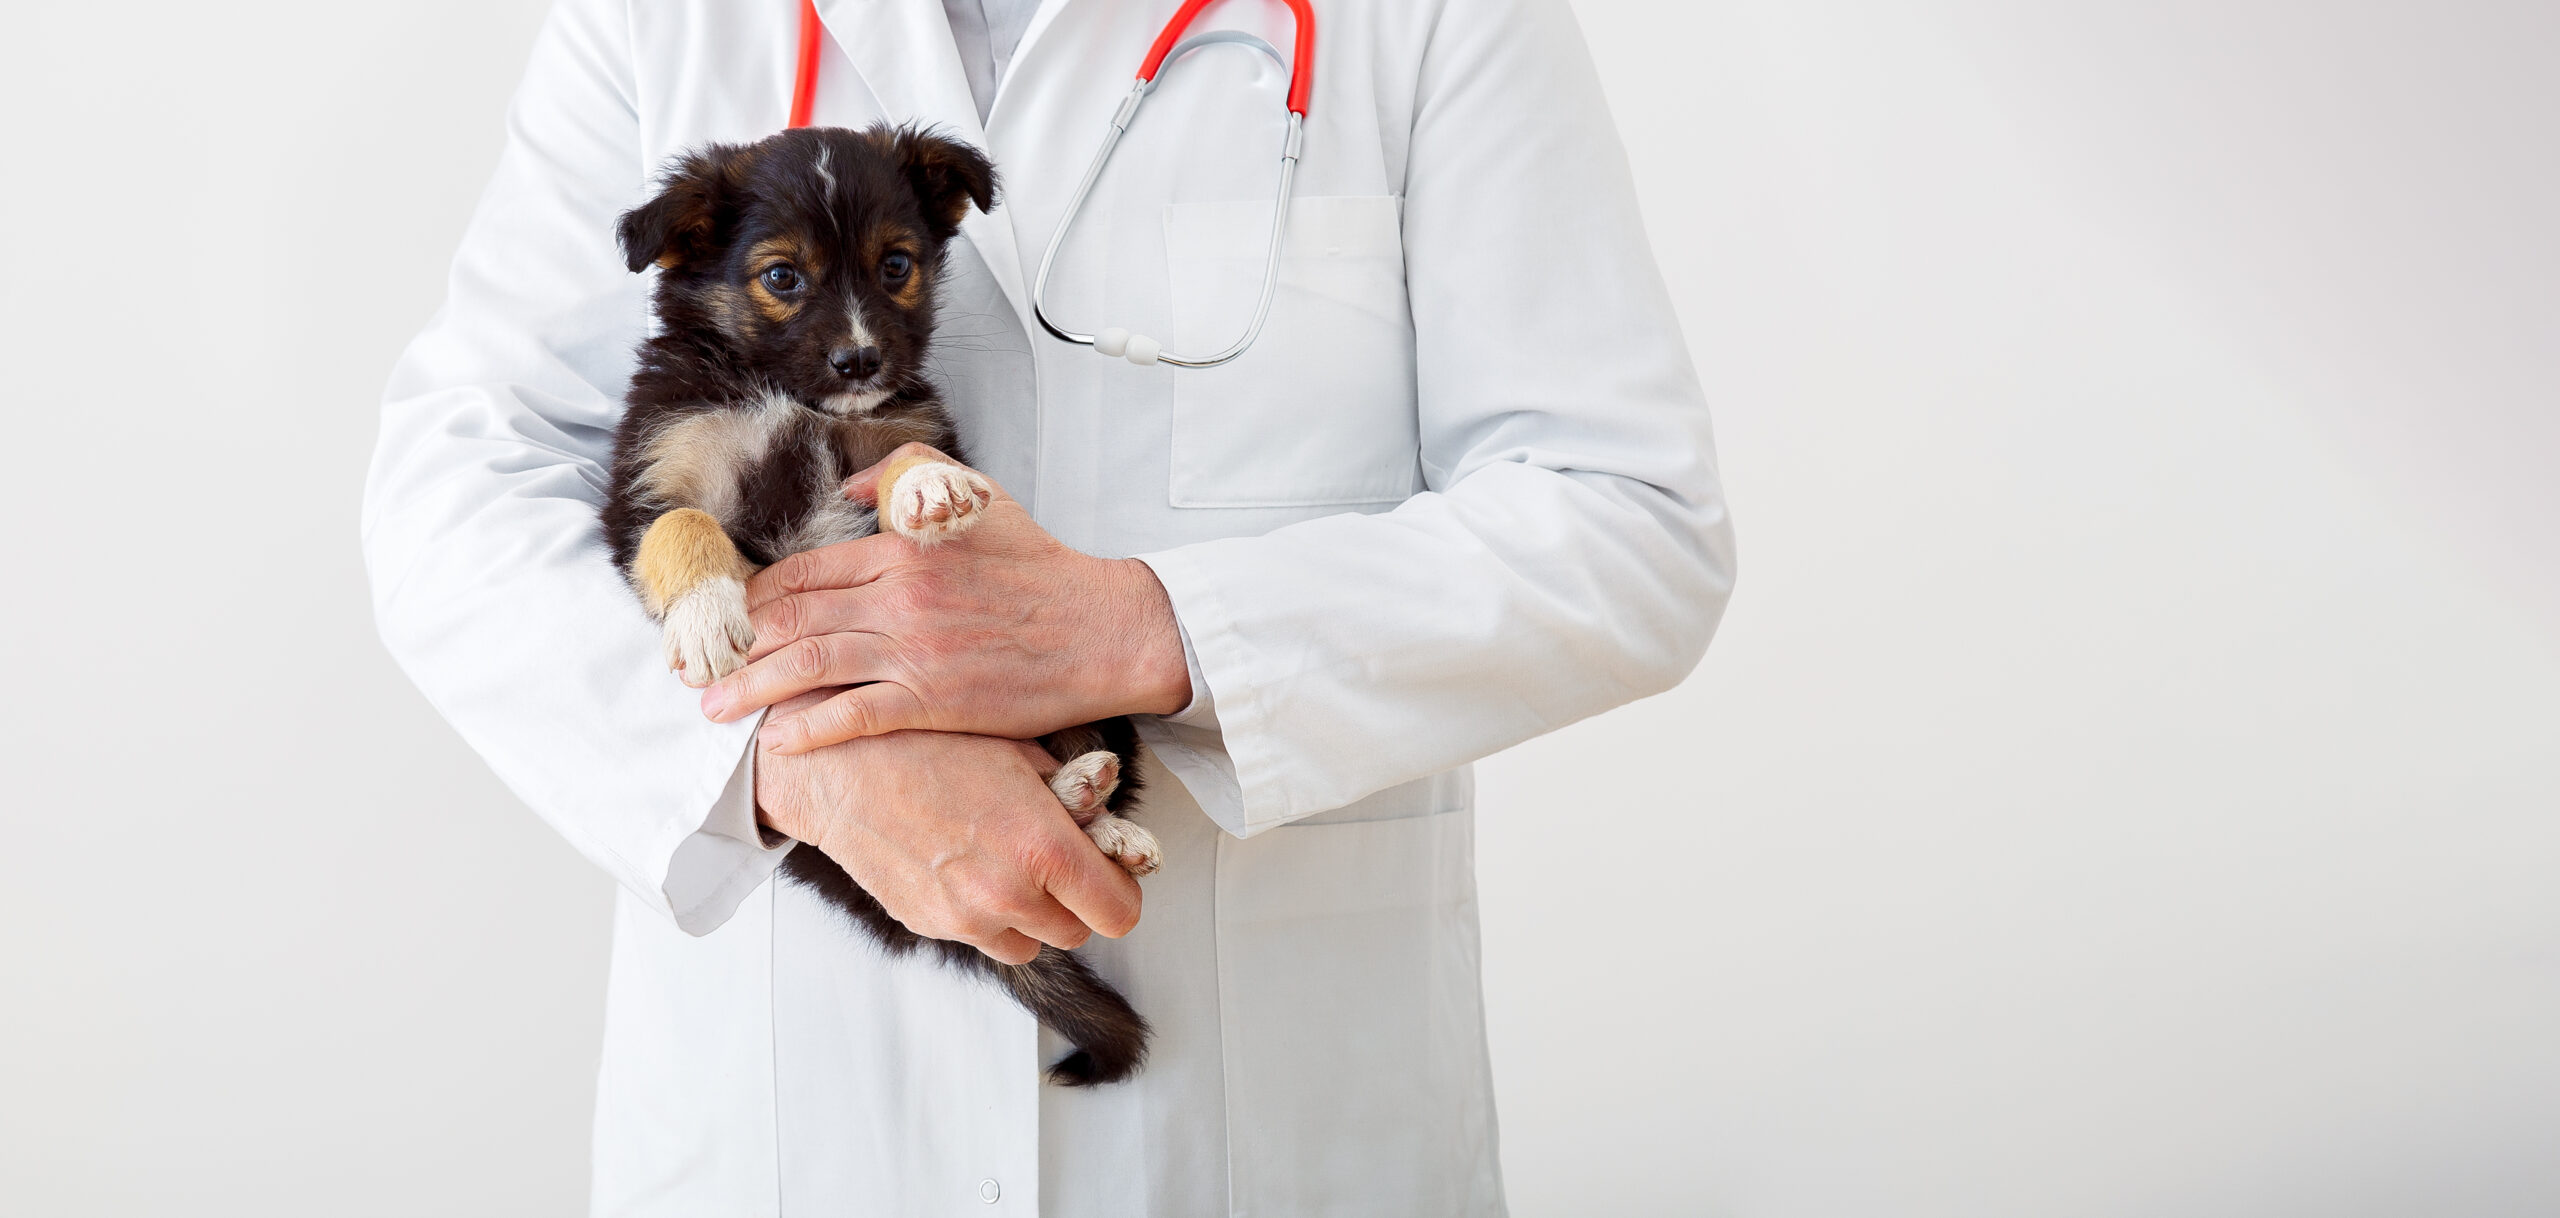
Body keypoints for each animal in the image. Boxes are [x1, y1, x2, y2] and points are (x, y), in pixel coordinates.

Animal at [599, 126, 1162, 1084]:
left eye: (896, 264)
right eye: (782, 276)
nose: (861, 360)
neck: (792, 397)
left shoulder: (897, 423)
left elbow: (905, 453)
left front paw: (930, 490)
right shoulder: (645, 481)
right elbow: (679, 523)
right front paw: (708, 615)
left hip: (1087, 701)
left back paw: (1101, 818)